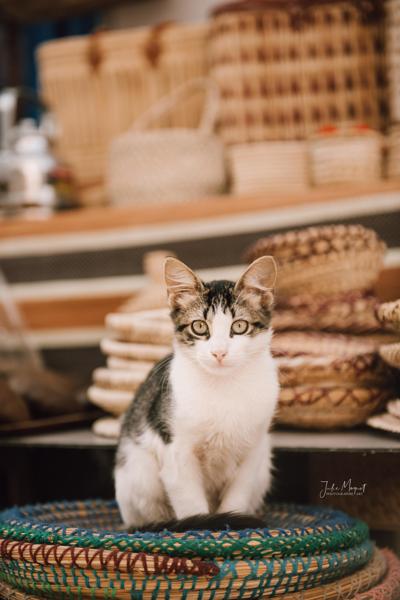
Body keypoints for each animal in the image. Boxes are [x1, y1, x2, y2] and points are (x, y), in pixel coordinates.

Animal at [114, 255, 280, 528]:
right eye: (200, 327)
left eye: (240, 326)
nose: (219, 352)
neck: (223, 387)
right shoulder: (176, 453)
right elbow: (190, 504)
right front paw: (203, 527)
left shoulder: (253, 449)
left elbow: (238, 494)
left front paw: (233, 522)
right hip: (138, 471)